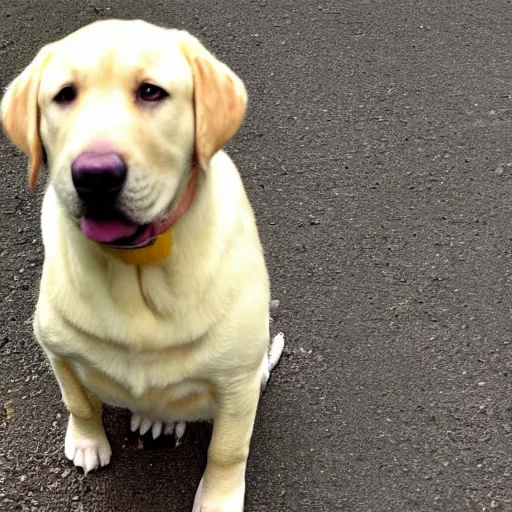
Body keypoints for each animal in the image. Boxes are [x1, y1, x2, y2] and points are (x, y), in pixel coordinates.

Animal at [0, 18, 284, 510]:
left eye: (151, 92)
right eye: (64, 95)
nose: (95, 176)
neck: (137, 264)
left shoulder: (236, 383)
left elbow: (228, 449)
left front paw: (219, 499)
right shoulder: (55, 348)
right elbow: (78, 401)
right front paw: (87, 441)